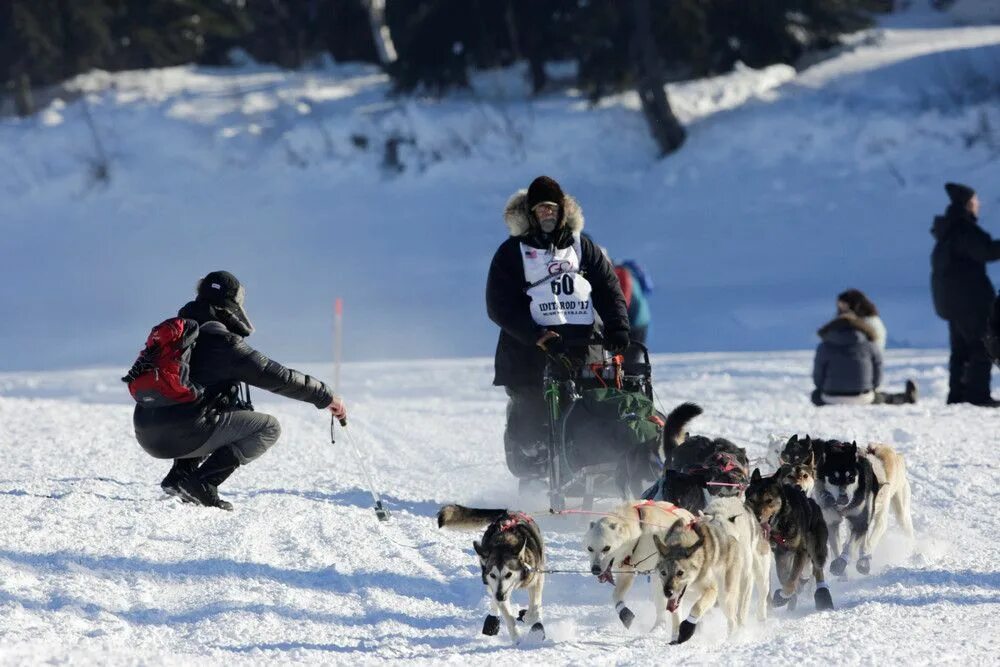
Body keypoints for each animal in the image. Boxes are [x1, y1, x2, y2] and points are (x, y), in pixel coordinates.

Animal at [440, 506, 548, 640]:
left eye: (509, 574)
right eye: (493, 575)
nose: (500, 596)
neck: (504, 542)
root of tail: (508, 512)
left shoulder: (536, 577)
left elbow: (534, 608)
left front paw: (531, 621)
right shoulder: (494, 586)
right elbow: (508, 617)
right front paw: (518, 639)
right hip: (488, 582)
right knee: (493, 597)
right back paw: (492, 620)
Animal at [580, 500, 696, 636]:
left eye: (606, 548)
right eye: (590, 548)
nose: (595, 569)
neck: (640, 535)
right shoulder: (626, 572)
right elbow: (616, 596)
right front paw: (624, 613)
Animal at [648, 498, 756, 644]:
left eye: (680, 572)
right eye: (663, 573)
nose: (667, 592)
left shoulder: (711, 590)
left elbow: (697, 607)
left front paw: (687, 629)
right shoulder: (676, 598)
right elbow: (676, 616)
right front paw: (675, 636)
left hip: (725, 597)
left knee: (732, 620)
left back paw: (731, 639)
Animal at [748, 468, 832, 612]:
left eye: (769, 500)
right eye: (752, 500)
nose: (756, 517)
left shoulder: (799, 551)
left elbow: (791, 580)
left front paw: (783, 596)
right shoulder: (779, 555)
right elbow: (783, 577)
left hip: (817, 548)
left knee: (817, 569)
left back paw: (822, 596)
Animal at [812, 440, 916, 576]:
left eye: (851, 478)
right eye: (834, 478)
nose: (843, 499)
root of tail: (897, 456)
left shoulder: (873, 521)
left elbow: (865, 543)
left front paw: (862, 560)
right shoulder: (834, 522)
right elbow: (841, 547)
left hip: (901, 513)